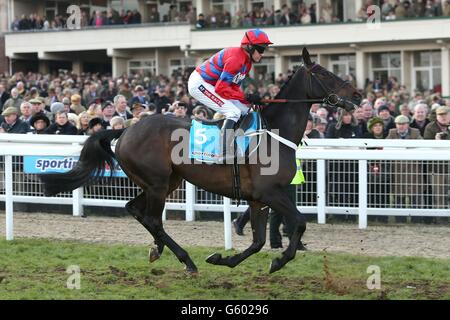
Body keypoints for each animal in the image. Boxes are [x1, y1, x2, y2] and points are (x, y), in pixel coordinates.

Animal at [40, 48, 360, 274]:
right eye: (325, 74)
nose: (357, 95)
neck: (273, 132)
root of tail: (127, 129)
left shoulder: (258, 198)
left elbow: (257, 242)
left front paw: (223, 259)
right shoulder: (271, 192)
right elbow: (300, 222)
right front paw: (279, 261)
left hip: (168, 181)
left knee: (135, 209)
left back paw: (157, 249)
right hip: (157, 183)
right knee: (153, 219)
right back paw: (185, 260)